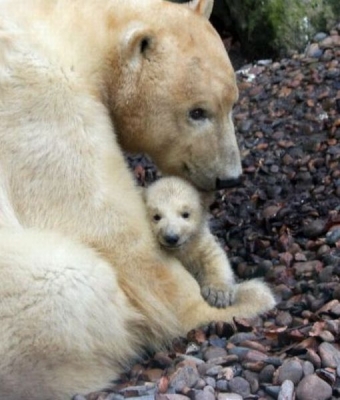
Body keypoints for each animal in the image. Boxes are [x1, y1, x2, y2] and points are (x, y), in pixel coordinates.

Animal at [145, 177, 235, 308]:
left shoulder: (199, 242)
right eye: (156, 216)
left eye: (185, 214)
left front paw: (219, 293)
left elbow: (213, 256)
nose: (171, 237)